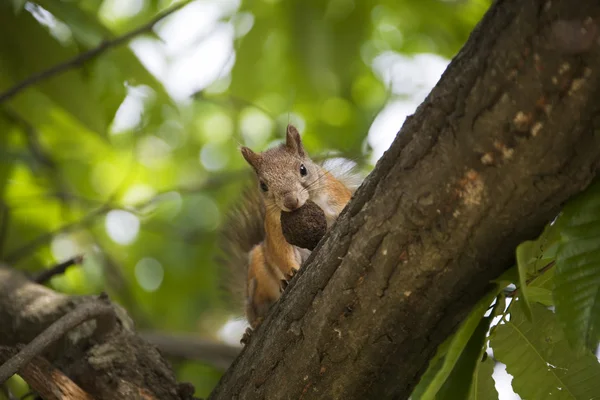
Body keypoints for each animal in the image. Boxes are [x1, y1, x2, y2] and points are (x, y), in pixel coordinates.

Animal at [220, 125, 360, 344]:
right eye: (263, 185)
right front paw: (292, 273)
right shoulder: (275, 228)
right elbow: (282, 252)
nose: (290, 201)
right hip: (257, 273)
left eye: (303, 169)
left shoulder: (338, 197)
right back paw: (254, 326)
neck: (308, 203)